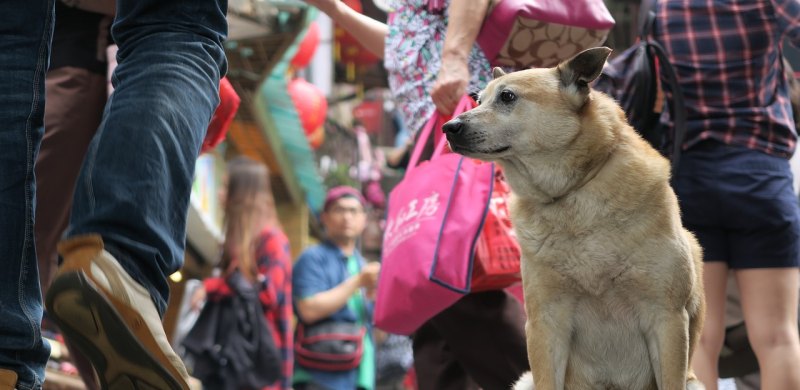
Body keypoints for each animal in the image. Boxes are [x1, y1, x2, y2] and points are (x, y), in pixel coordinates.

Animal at [444, 47, 708, 388]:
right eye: (478, 100)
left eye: (507, 96)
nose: (448, 127)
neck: (571, 194)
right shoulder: (545, 323)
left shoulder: (667, 317)